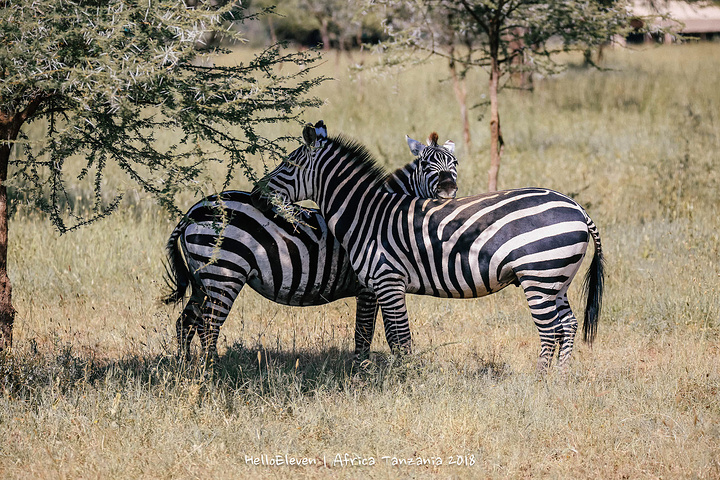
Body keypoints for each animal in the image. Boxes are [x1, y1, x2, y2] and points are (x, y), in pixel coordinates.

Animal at [164, 120, 458, 360]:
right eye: (426, 167)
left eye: (454, 166)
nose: (449, 191)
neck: (376, 212)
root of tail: (194, 210)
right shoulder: (370, 285)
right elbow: (364, 332)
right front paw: (361, 371)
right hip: (224, 275)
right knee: (208, 326)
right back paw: (212, 372)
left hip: (202, 280)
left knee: (186, 322)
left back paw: (187, 369)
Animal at [250, 123, 604, 372]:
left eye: (287, 165)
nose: (255, 192)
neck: (366, 213)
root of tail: (577, 207)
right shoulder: (377, 286)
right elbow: (380, 334)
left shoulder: (387, 281)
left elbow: (397, 338)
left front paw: (404, 381)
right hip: (556, 279)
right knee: (568, 325)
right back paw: (559, 377)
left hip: (539, 277)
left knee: (550, 330)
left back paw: (539, 381)